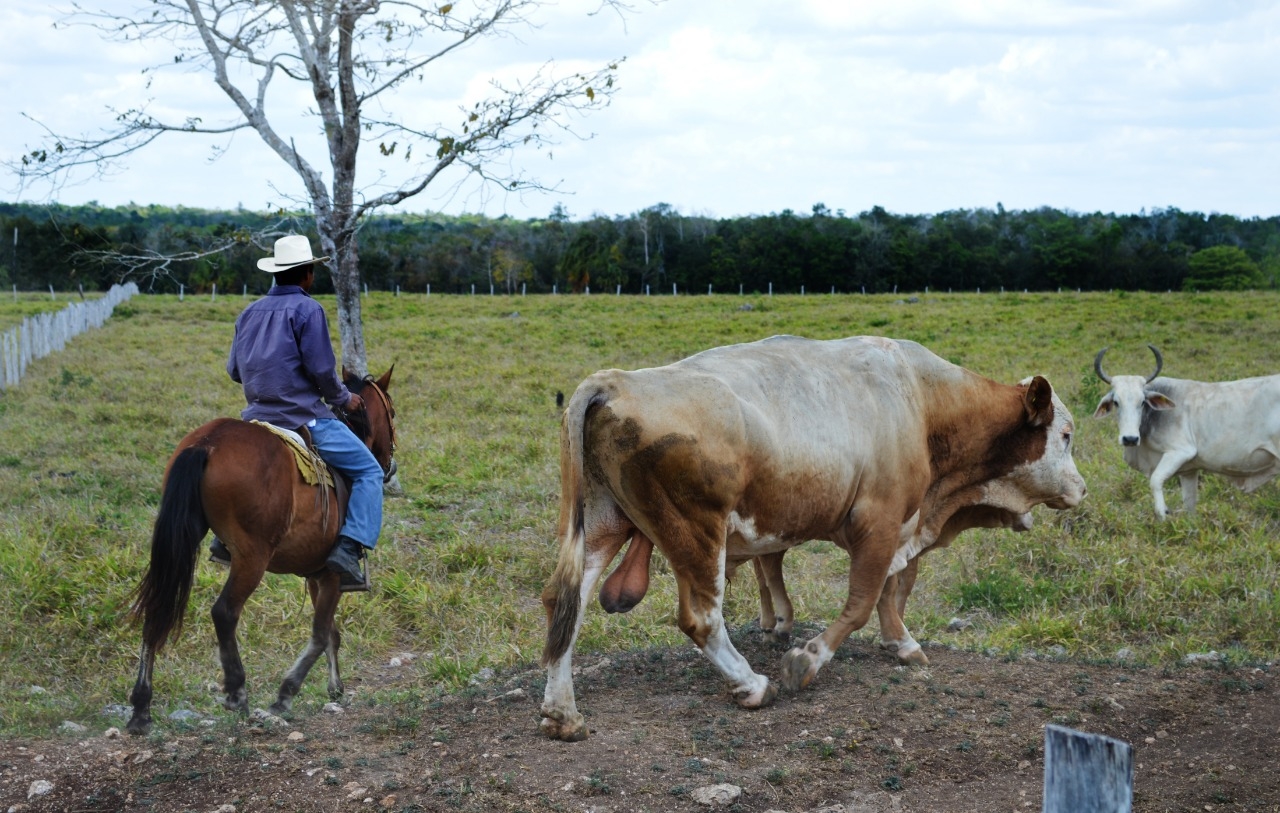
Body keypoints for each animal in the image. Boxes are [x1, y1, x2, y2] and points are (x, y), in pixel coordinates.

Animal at [126, 368, 394, 737]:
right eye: (392, 413)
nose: (390, 465)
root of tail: (206, 443)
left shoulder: (316, 575)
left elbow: (330, 634)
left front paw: (334, 687)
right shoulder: (332, 574)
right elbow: (320, 633)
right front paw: (286, 694)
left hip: (181, 539)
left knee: (157, 607)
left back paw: (141, 707)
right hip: (252, 557)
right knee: (224, 612)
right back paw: (236, 691)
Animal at [540, 332, 1090, 742]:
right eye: (1065, 435)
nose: (1081, 488)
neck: (922, 399)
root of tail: (615, 381)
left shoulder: (898, 530)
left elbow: (890, 592)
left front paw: (901, 642)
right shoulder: (880, 523)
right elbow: (864, 601)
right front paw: (807, 660)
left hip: (604, 527)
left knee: (566, 603)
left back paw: (562, 712)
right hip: (696, 535)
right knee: (701, 619)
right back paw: (752, 684)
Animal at [1095, 345, 1280, 517]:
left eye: (1142, 402)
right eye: (1116, 402)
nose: (1130, 439)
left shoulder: (1180, 452)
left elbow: (1155, 481)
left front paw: (1163, 515)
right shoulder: (1189, 471)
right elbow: (1189, 505)